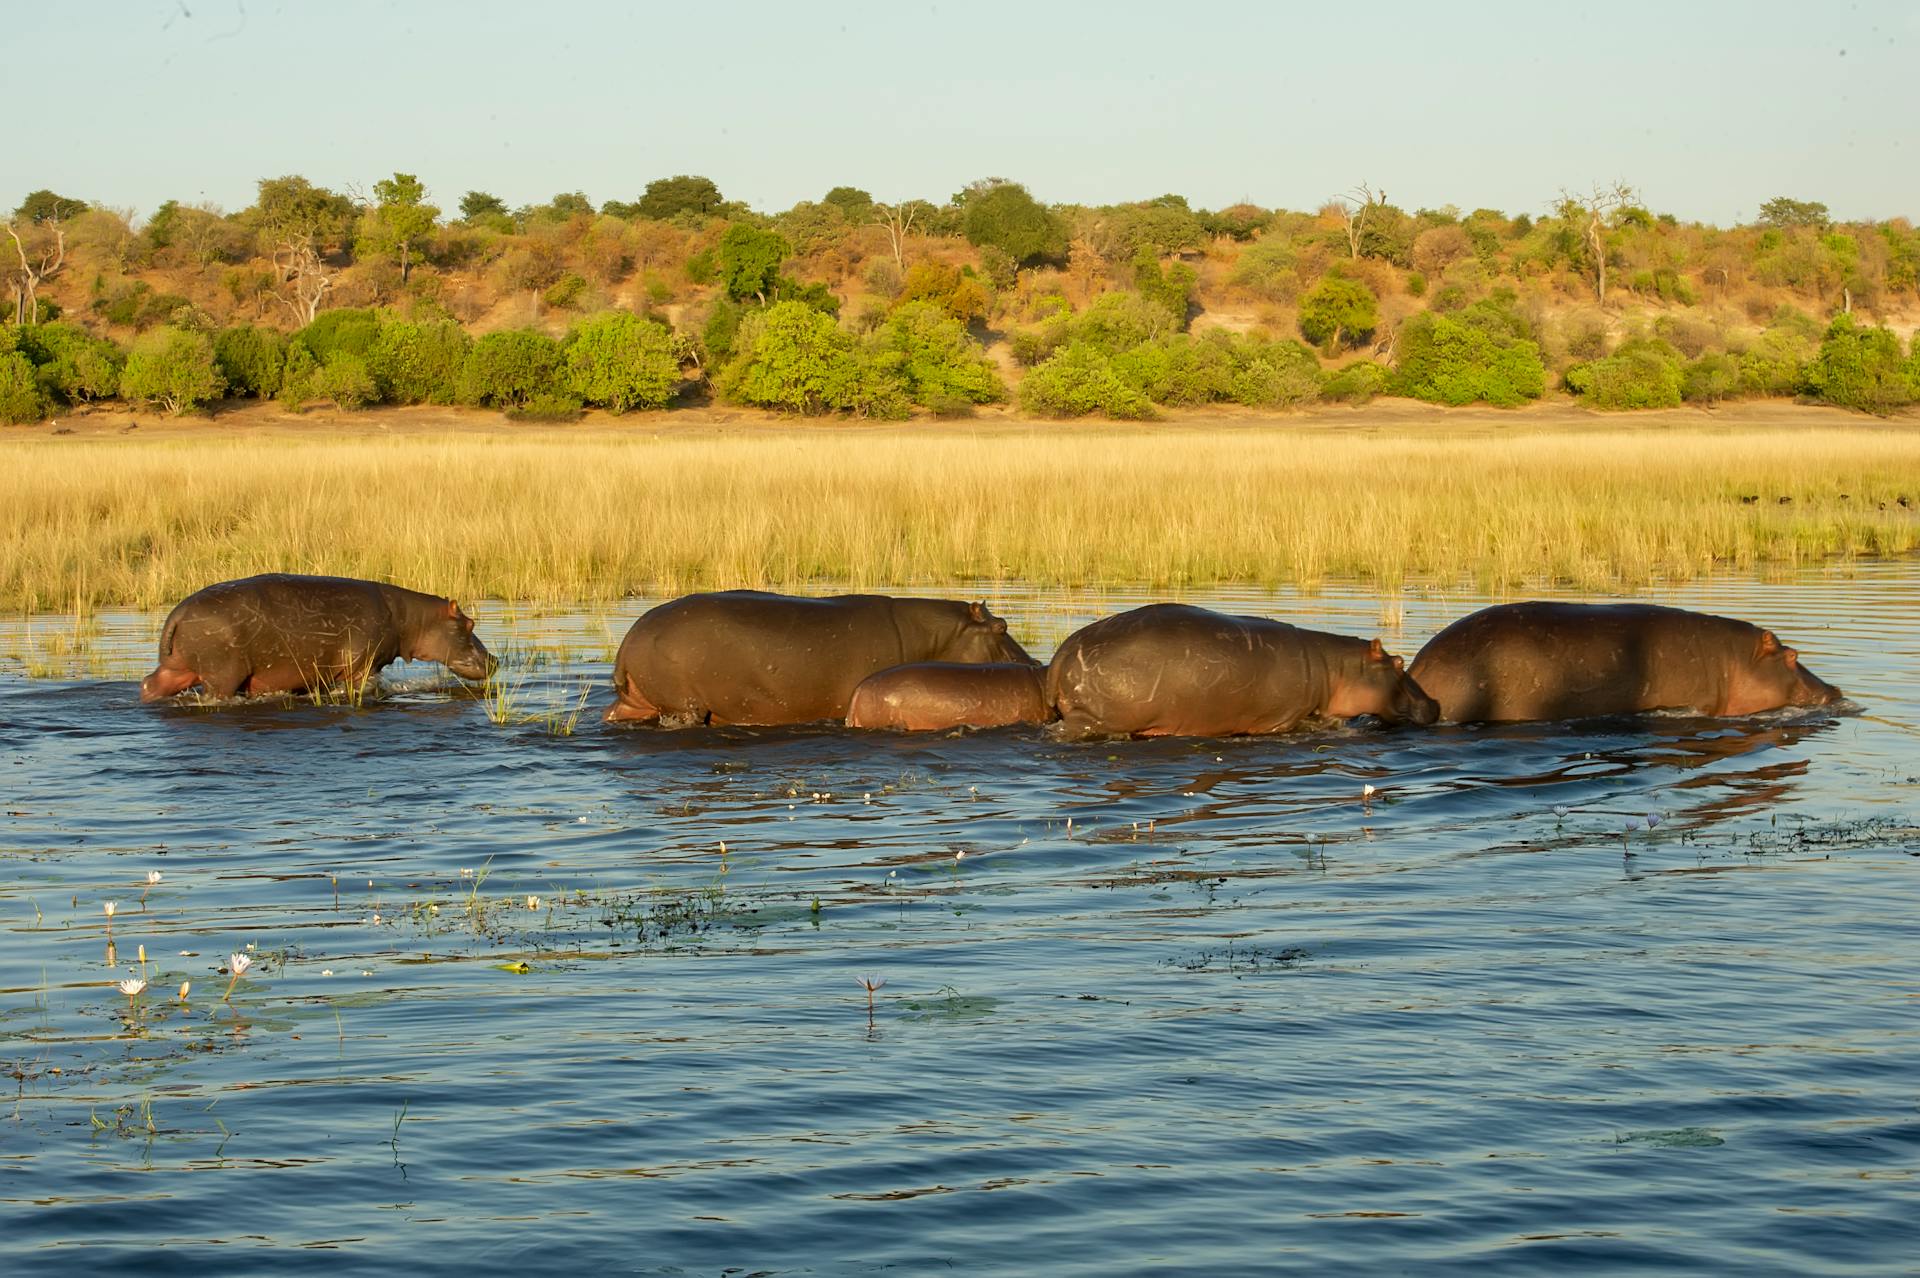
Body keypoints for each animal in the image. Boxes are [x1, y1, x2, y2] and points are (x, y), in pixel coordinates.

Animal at [144, 571, 503, 702]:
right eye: (469, 624)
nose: (495, 660)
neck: (412, 619)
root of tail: (177, 613)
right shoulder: (362, 667)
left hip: (177, 669)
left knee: (150, 684)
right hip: (222, 674)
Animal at [1044, 606, 1436, 736]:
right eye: (1399, 663)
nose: (1434, 703)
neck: (1336, 669)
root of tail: (1062, 652)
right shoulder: (1283, 718)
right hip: (1094, 717)